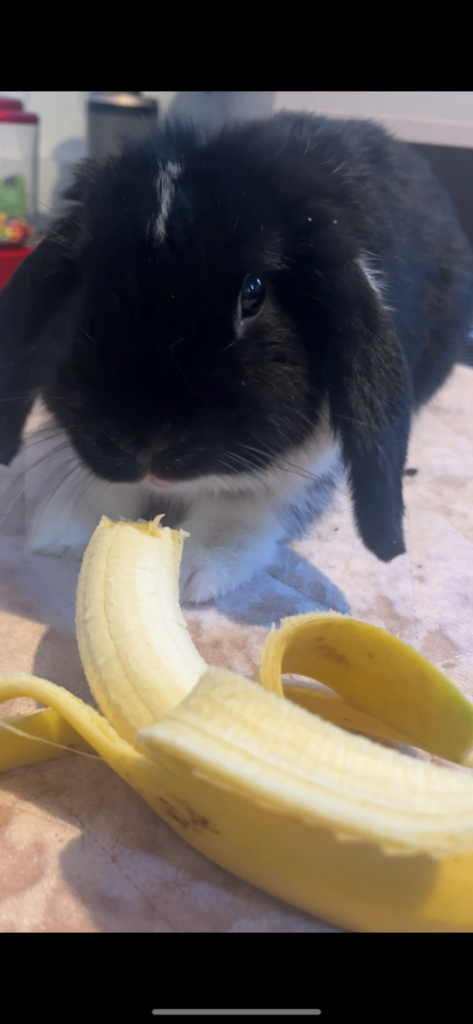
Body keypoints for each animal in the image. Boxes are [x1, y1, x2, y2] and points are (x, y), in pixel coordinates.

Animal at [0, 111, 472, 603]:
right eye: (82, 281)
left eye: (253, 293)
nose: (142, 448)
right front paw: (63, 534)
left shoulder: (298, 471)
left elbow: (245, 503)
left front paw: (196, 571)